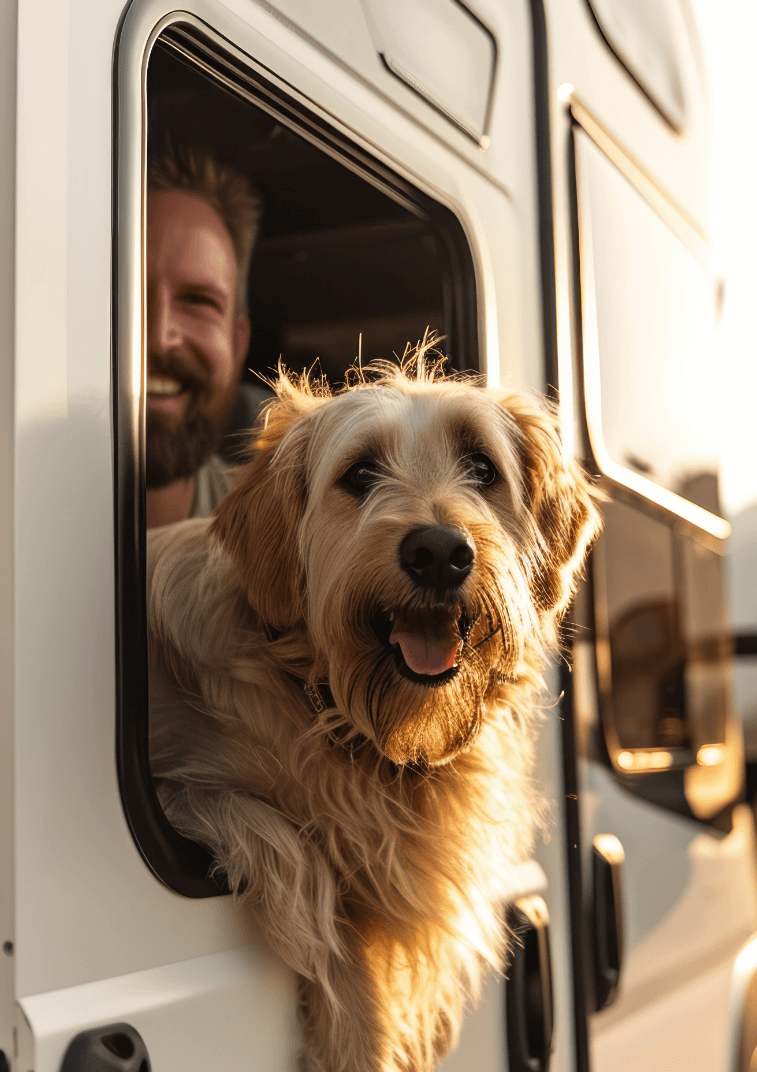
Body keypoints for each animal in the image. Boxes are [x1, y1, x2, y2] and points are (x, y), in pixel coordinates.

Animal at [145, 351, 596, 1072]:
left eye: (481, 467)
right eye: (359, 474)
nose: (438, 551)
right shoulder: (173, 789)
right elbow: (301, 866)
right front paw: (358, 1028)